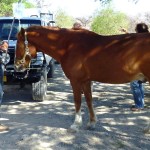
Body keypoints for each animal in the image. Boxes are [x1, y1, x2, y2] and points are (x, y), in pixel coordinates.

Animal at [13, 25, 149, 132]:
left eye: (18, 44)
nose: (17, 66)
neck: (68, 46)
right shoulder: (86, 81)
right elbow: (89, 100)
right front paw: (92, 123)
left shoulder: (75, 81)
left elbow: (77, 101)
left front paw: (76, 124)